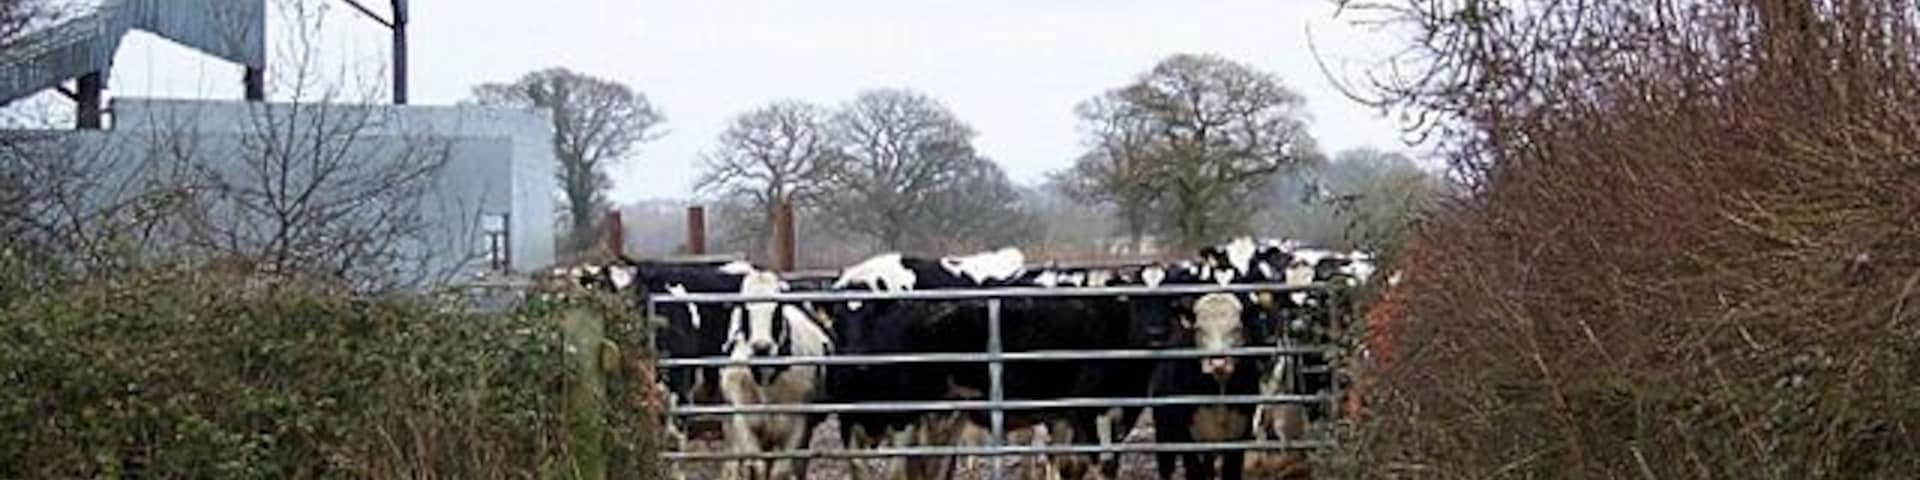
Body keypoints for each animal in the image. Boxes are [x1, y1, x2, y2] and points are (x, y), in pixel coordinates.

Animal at [718, 271, 834, 480]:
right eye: (745, 310)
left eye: (778, 309)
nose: (761, 347)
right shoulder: (744, 420)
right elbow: (755, 469)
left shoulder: (798, 424)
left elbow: (781, 472)